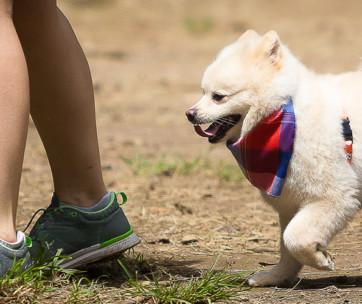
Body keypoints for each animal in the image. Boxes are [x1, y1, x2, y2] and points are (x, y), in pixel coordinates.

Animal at [187, 30, 362, 288]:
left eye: (218, 96)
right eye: (202, 92)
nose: (189, 114)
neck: (285, 117)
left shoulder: (335, 196)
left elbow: (294, 238)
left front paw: (321, 260)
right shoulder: (290, 202)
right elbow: (287, 248)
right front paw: (276, 276)